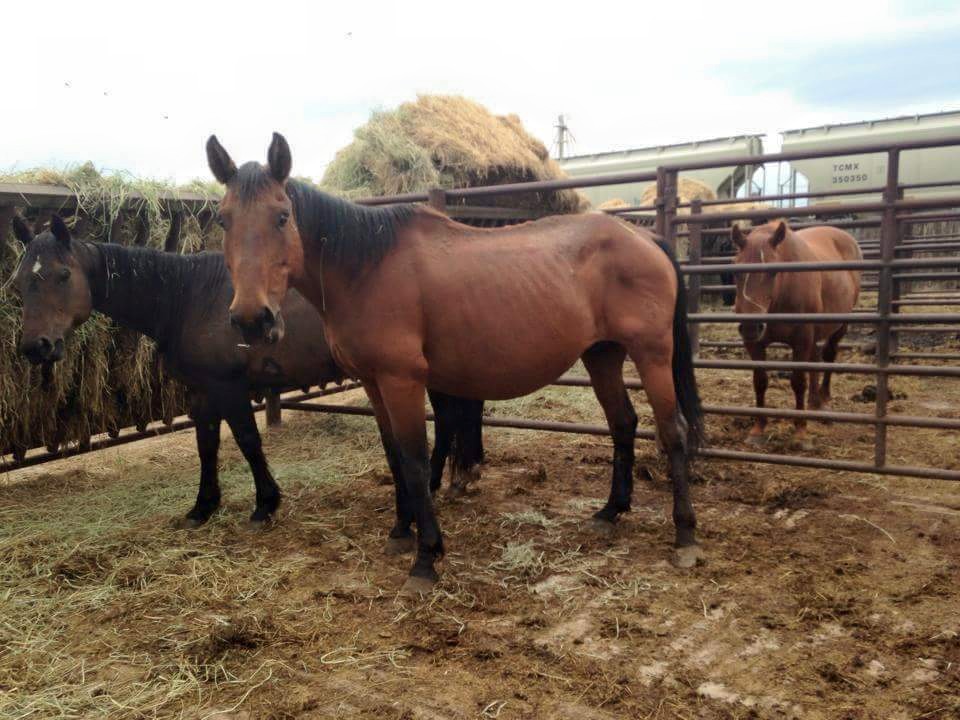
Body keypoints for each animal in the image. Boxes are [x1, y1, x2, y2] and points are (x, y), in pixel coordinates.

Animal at [11, 214, 484, 528]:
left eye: (62, 274)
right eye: (17, 282)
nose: (36, 346)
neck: (186, 297)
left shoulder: (229, 388)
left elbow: (248, 442)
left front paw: (265, 504)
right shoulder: (202, 393)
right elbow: (207, 447)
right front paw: (202, 508)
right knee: (451, 417)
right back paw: (450, 478)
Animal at [208, 132, 704, 592]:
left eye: (282, 216)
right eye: (223, 219)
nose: (252, 319)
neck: (367, 268)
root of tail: (645, 236)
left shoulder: (402, 380)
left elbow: (414, 459)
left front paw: (426, 557)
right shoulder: (373, 382)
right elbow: (393, 455)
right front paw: (400, 531)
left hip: (652, 354)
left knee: (673, 431)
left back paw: (685, 536)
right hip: (602, 355)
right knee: (623, 423)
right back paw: (610, 511)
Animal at [732, 219, 868, 448]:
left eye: (773, 272)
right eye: (736, 272)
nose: (751, 327)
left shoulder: (801, 340)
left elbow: (798, 382)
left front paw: (800, 432)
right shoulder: (755, 344)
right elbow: (760, 381)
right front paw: (758, 430)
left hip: (840, 325)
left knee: (829, 355)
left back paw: (823, 401)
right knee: (815, 360)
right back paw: (814, 401)